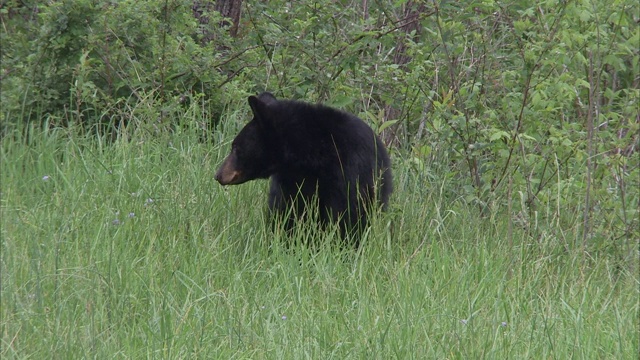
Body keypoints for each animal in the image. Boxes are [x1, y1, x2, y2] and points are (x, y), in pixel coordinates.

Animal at [218, 93, 392, 243]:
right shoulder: (288, 182)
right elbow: (286, 212)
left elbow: (349, 213)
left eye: (235, 147)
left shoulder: (350, 171)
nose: (218, 174)